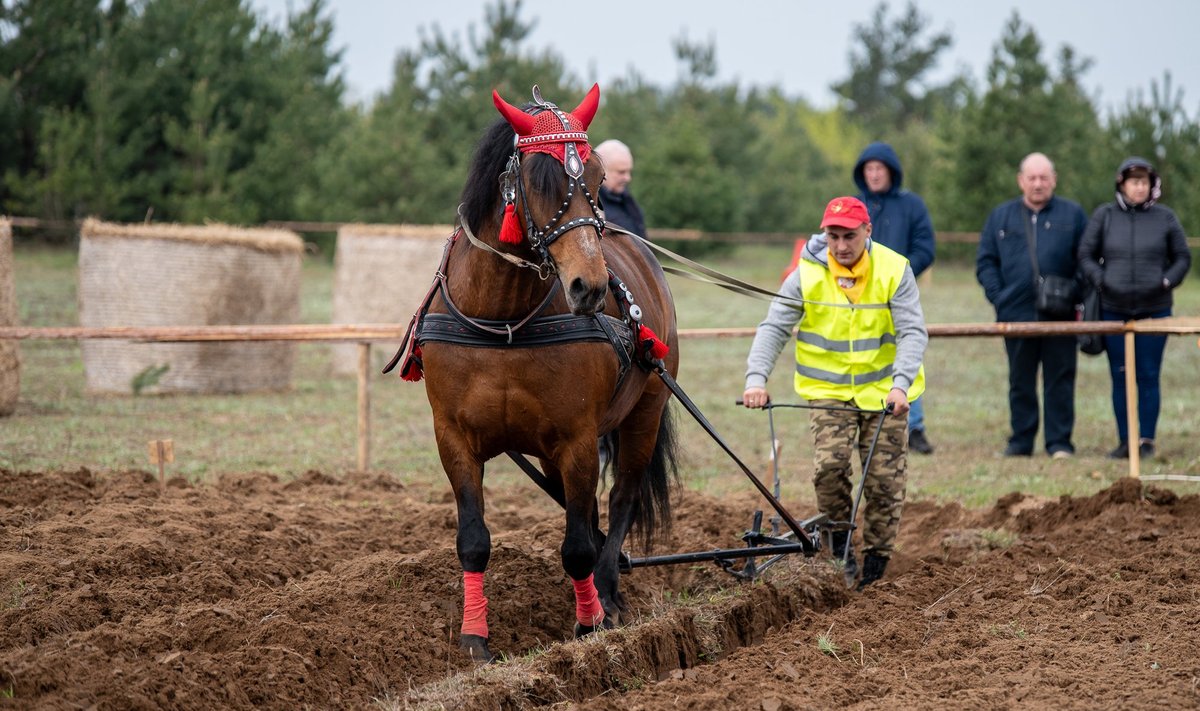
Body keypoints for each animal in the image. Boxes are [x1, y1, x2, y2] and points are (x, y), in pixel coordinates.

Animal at [391, 83, 681, 662]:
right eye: (538, 180)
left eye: (598, 177)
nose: (590, 287)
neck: (501, 320)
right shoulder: (453, 437)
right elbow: (474, 540)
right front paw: (475, 639)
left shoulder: (577, 437)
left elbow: (578, 545)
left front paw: (589, 627)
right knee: (586, 511)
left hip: (644, 411)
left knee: (621, 500)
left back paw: (609, 592)